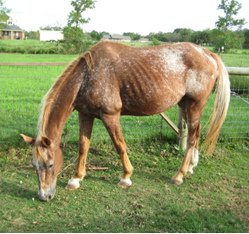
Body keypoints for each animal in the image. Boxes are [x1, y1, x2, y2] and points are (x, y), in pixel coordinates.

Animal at [20, 40, 231, 201]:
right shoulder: (85, 115)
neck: (88, 75)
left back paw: (179, 175)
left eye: (49, 165)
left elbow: (119, 145)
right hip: (185, 104)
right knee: (196, 133)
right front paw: (76, 179)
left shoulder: (110, 115)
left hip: (195, 105)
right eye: (34, 165)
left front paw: (126, 177)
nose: (44, 196)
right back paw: (192, 166)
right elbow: (83, 147)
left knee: (193, 136)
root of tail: (207, 53)